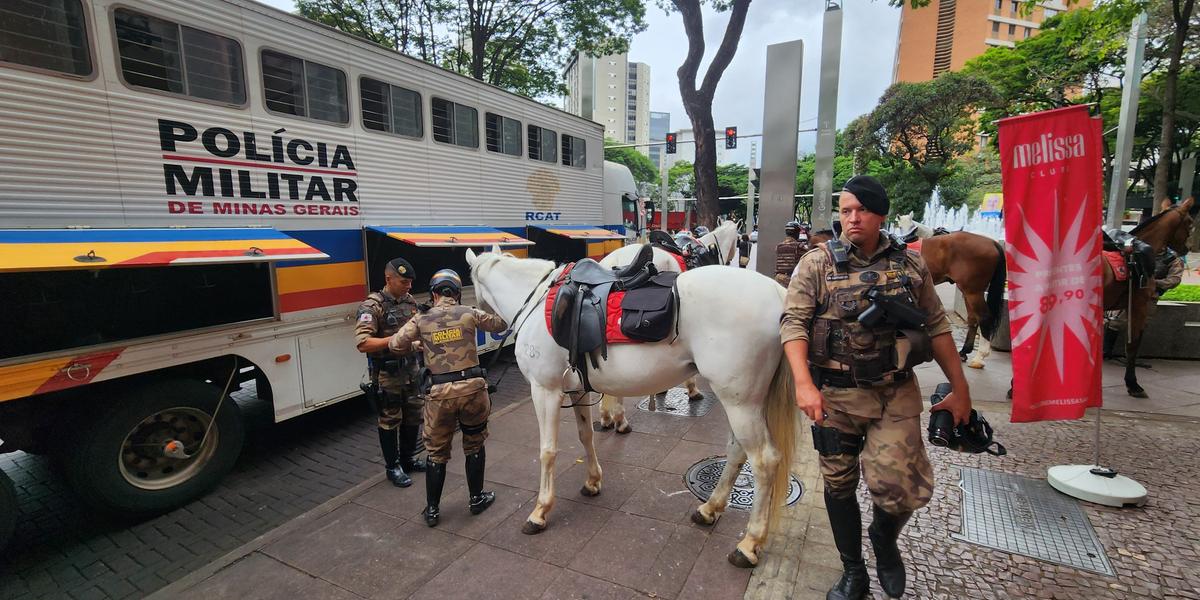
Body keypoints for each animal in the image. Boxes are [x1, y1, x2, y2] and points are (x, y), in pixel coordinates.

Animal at [465, 247, 796, 566]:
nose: (489, 327)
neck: (536, 304)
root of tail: (777, 293)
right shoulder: (576, 390)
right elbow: (586, 436)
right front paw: (592, 481)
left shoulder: (544, 390)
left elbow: (547, 451)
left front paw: (540, 511)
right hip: (743, 401)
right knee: (737, 451)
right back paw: (709, 509)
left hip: (739, 403)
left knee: (764, 461)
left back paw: (749, 544)